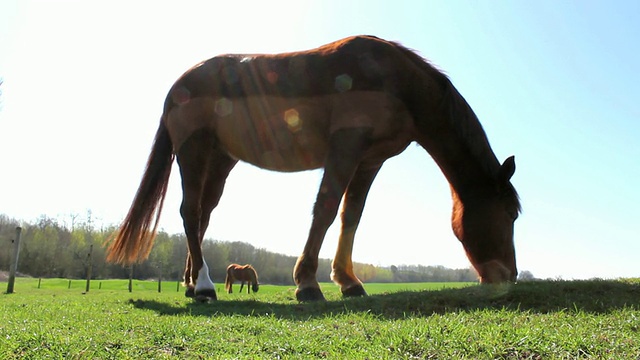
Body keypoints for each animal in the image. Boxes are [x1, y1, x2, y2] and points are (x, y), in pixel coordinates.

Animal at [105, 35, 520, 300]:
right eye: (510, 214)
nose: (509, 276)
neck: (394, 80)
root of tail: (179, 85)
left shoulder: (370, 159)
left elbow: (351, 215)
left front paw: (349, 281)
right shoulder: (346, 145)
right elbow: (325, 209)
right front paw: (307, 283)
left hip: (220, 160)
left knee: (203, 216)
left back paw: (192, 283)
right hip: (192, 151)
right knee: (190, 212)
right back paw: (205, 287)